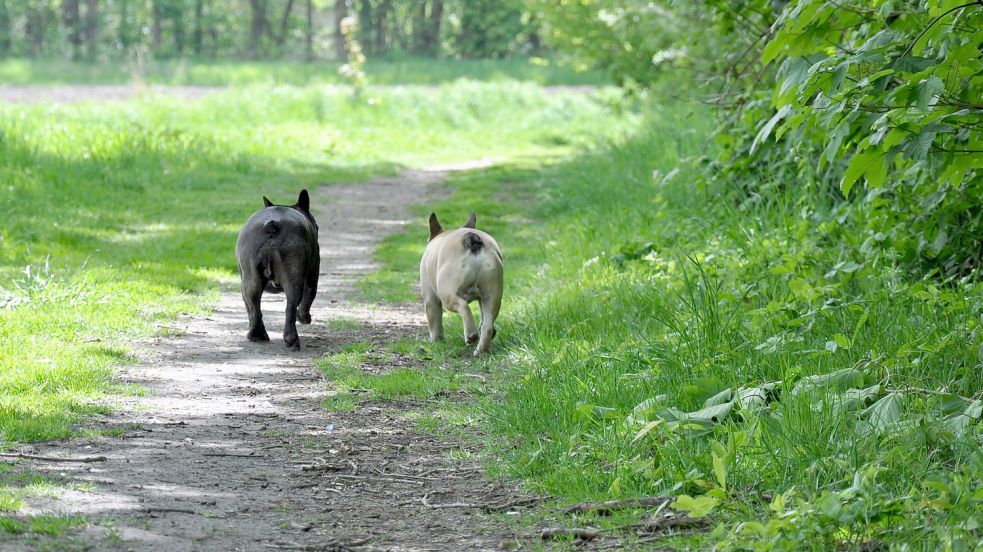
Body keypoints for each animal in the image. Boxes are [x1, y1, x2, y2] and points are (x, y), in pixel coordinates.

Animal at [234, 190, 320, 350]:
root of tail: (273, 224)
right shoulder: (313, 274)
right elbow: (309, 296)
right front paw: (304, 318)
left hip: (251, 278)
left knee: (254, 305)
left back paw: (258, 335)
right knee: (292, 305)